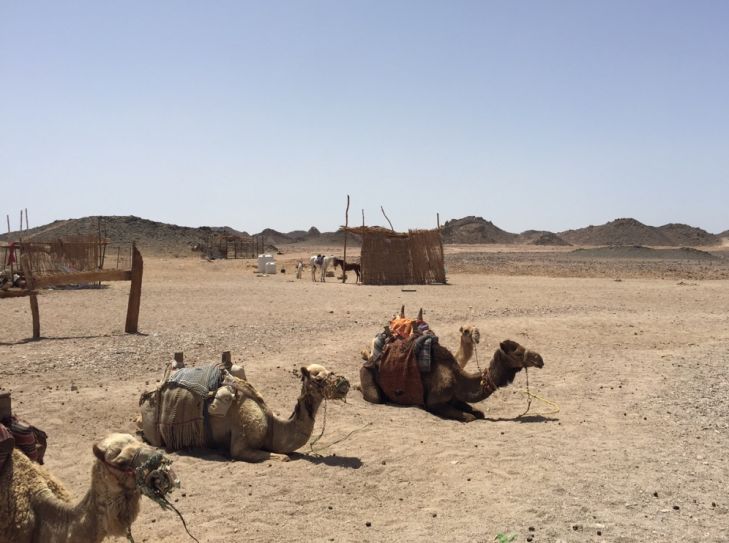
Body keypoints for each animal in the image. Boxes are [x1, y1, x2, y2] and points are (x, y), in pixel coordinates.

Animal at [141, 366, 352, 464]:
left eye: (330, 371)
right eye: (319, 379)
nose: (345, 383)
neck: (272, 426)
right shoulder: (241, 446)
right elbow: (284, 457)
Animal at [362, 338, 544, 422]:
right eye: (518, 353)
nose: (539, 359)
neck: (458, 379)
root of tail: (370, 360)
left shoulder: (456, 397)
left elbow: (478, 412)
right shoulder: (435, 402)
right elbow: (469, 417)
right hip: (367, 375)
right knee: (375, 397)